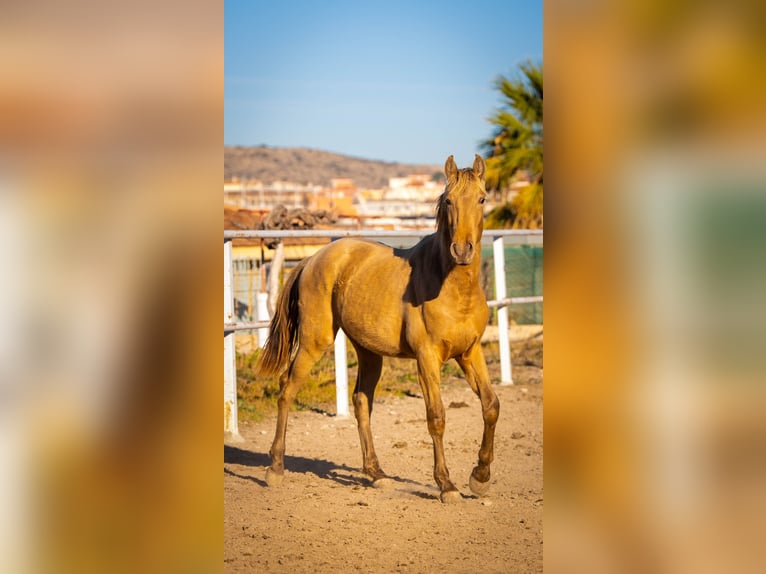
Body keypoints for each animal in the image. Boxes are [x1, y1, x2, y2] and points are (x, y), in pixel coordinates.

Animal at [255, 154, 500, 504]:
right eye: (449, 200)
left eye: (482, 199)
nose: (462, 250)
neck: (452, 288)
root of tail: (313, 258)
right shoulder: (427, 359)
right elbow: (436, 416)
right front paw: (447, 485)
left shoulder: (470, 353)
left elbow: (491, 406)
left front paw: (479, 478)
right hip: (316, 340)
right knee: (287, 388)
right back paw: (275, 468)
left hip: (369, 352)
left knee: (360, 401)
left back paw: (377, 473)